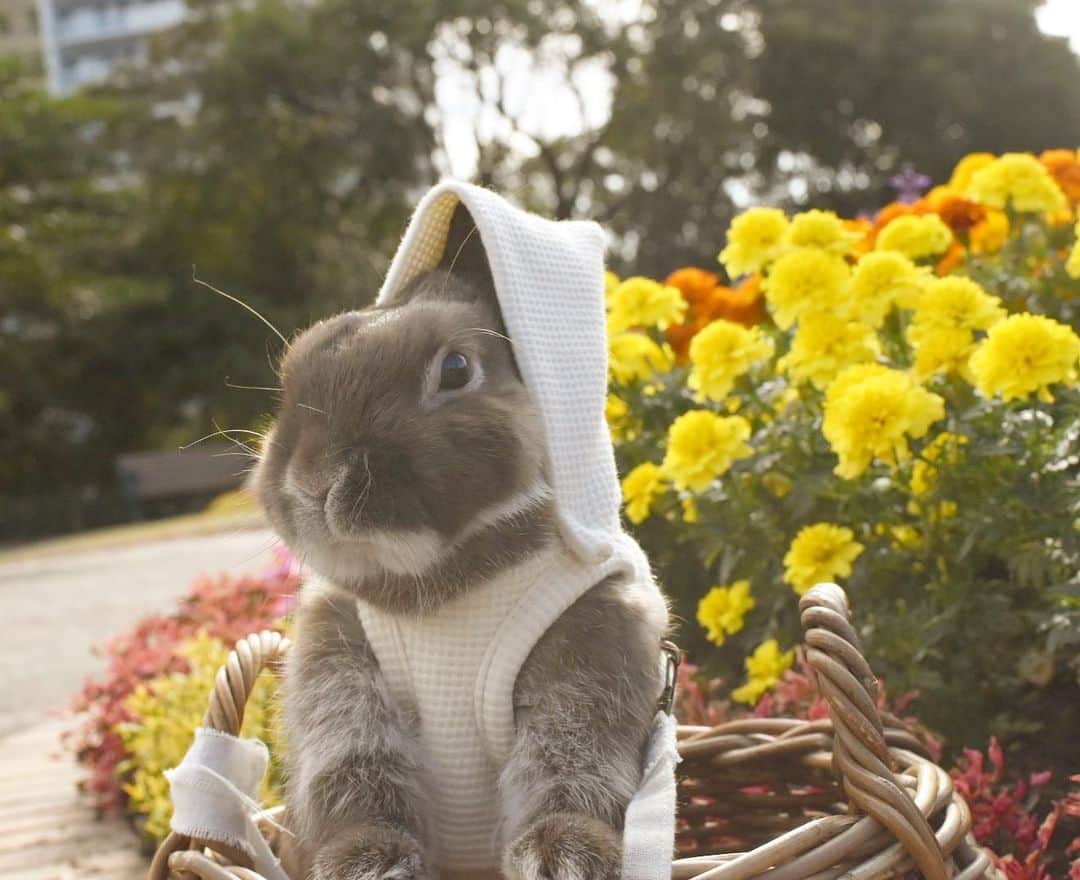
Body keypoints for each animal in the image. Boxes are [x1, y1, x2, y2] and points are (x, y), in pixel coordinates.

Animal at [253, 204, 669, 880]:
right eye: (295, 373)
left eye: (456, 369)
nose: (314, 480)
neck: (440, 577)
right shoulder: (343, 673)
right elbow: (356, 771)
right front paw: (366, 862)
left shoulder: (590, 658)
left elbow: (570, 763)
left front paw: (564, 856)